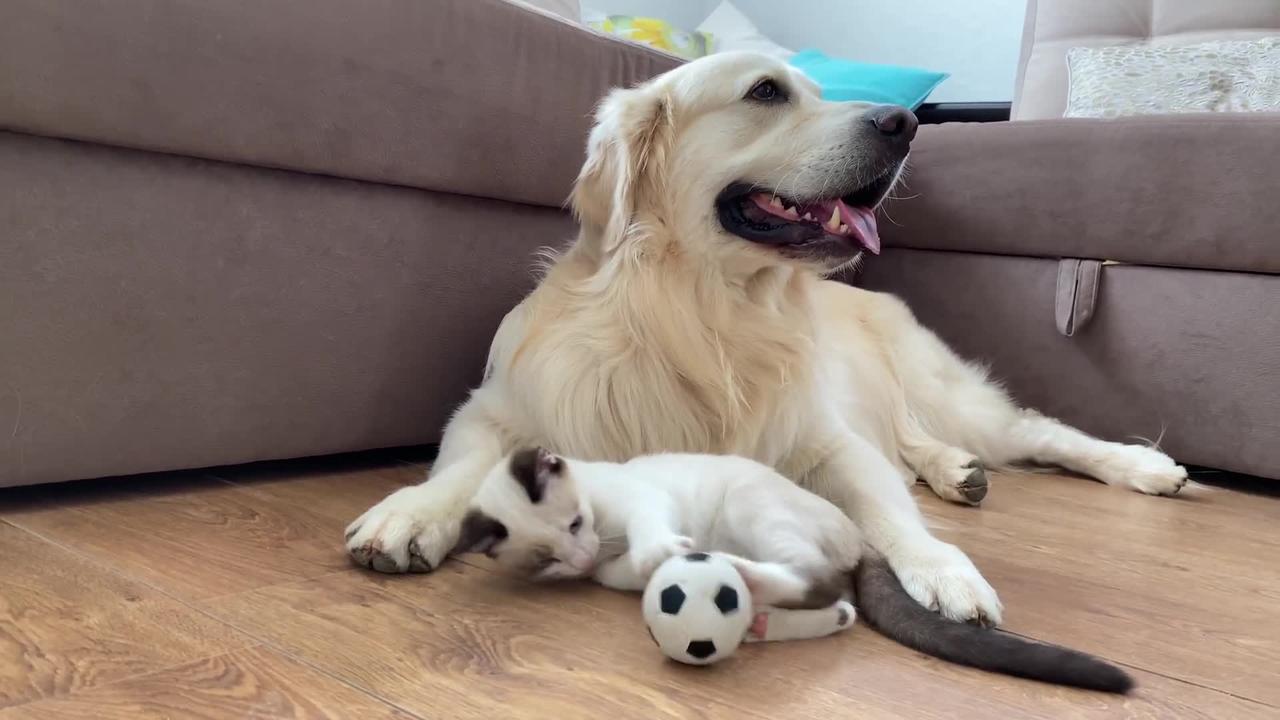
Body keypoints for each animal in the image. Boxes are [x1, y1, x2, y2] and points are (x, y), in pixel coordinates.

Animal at [345, 51, 1182, 622]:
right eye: (767, 92)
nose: (907, 124)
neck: (706, 312)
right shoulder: (503, 403)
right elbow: (466, 459)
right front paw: (410, 513)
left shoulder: (826, 440)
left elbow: (887, 509)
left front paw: (942, 569)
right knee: (923, 443)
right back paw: (955, 470)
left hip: (951, 394)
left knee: (1040, 430)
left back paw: (1144, 467)